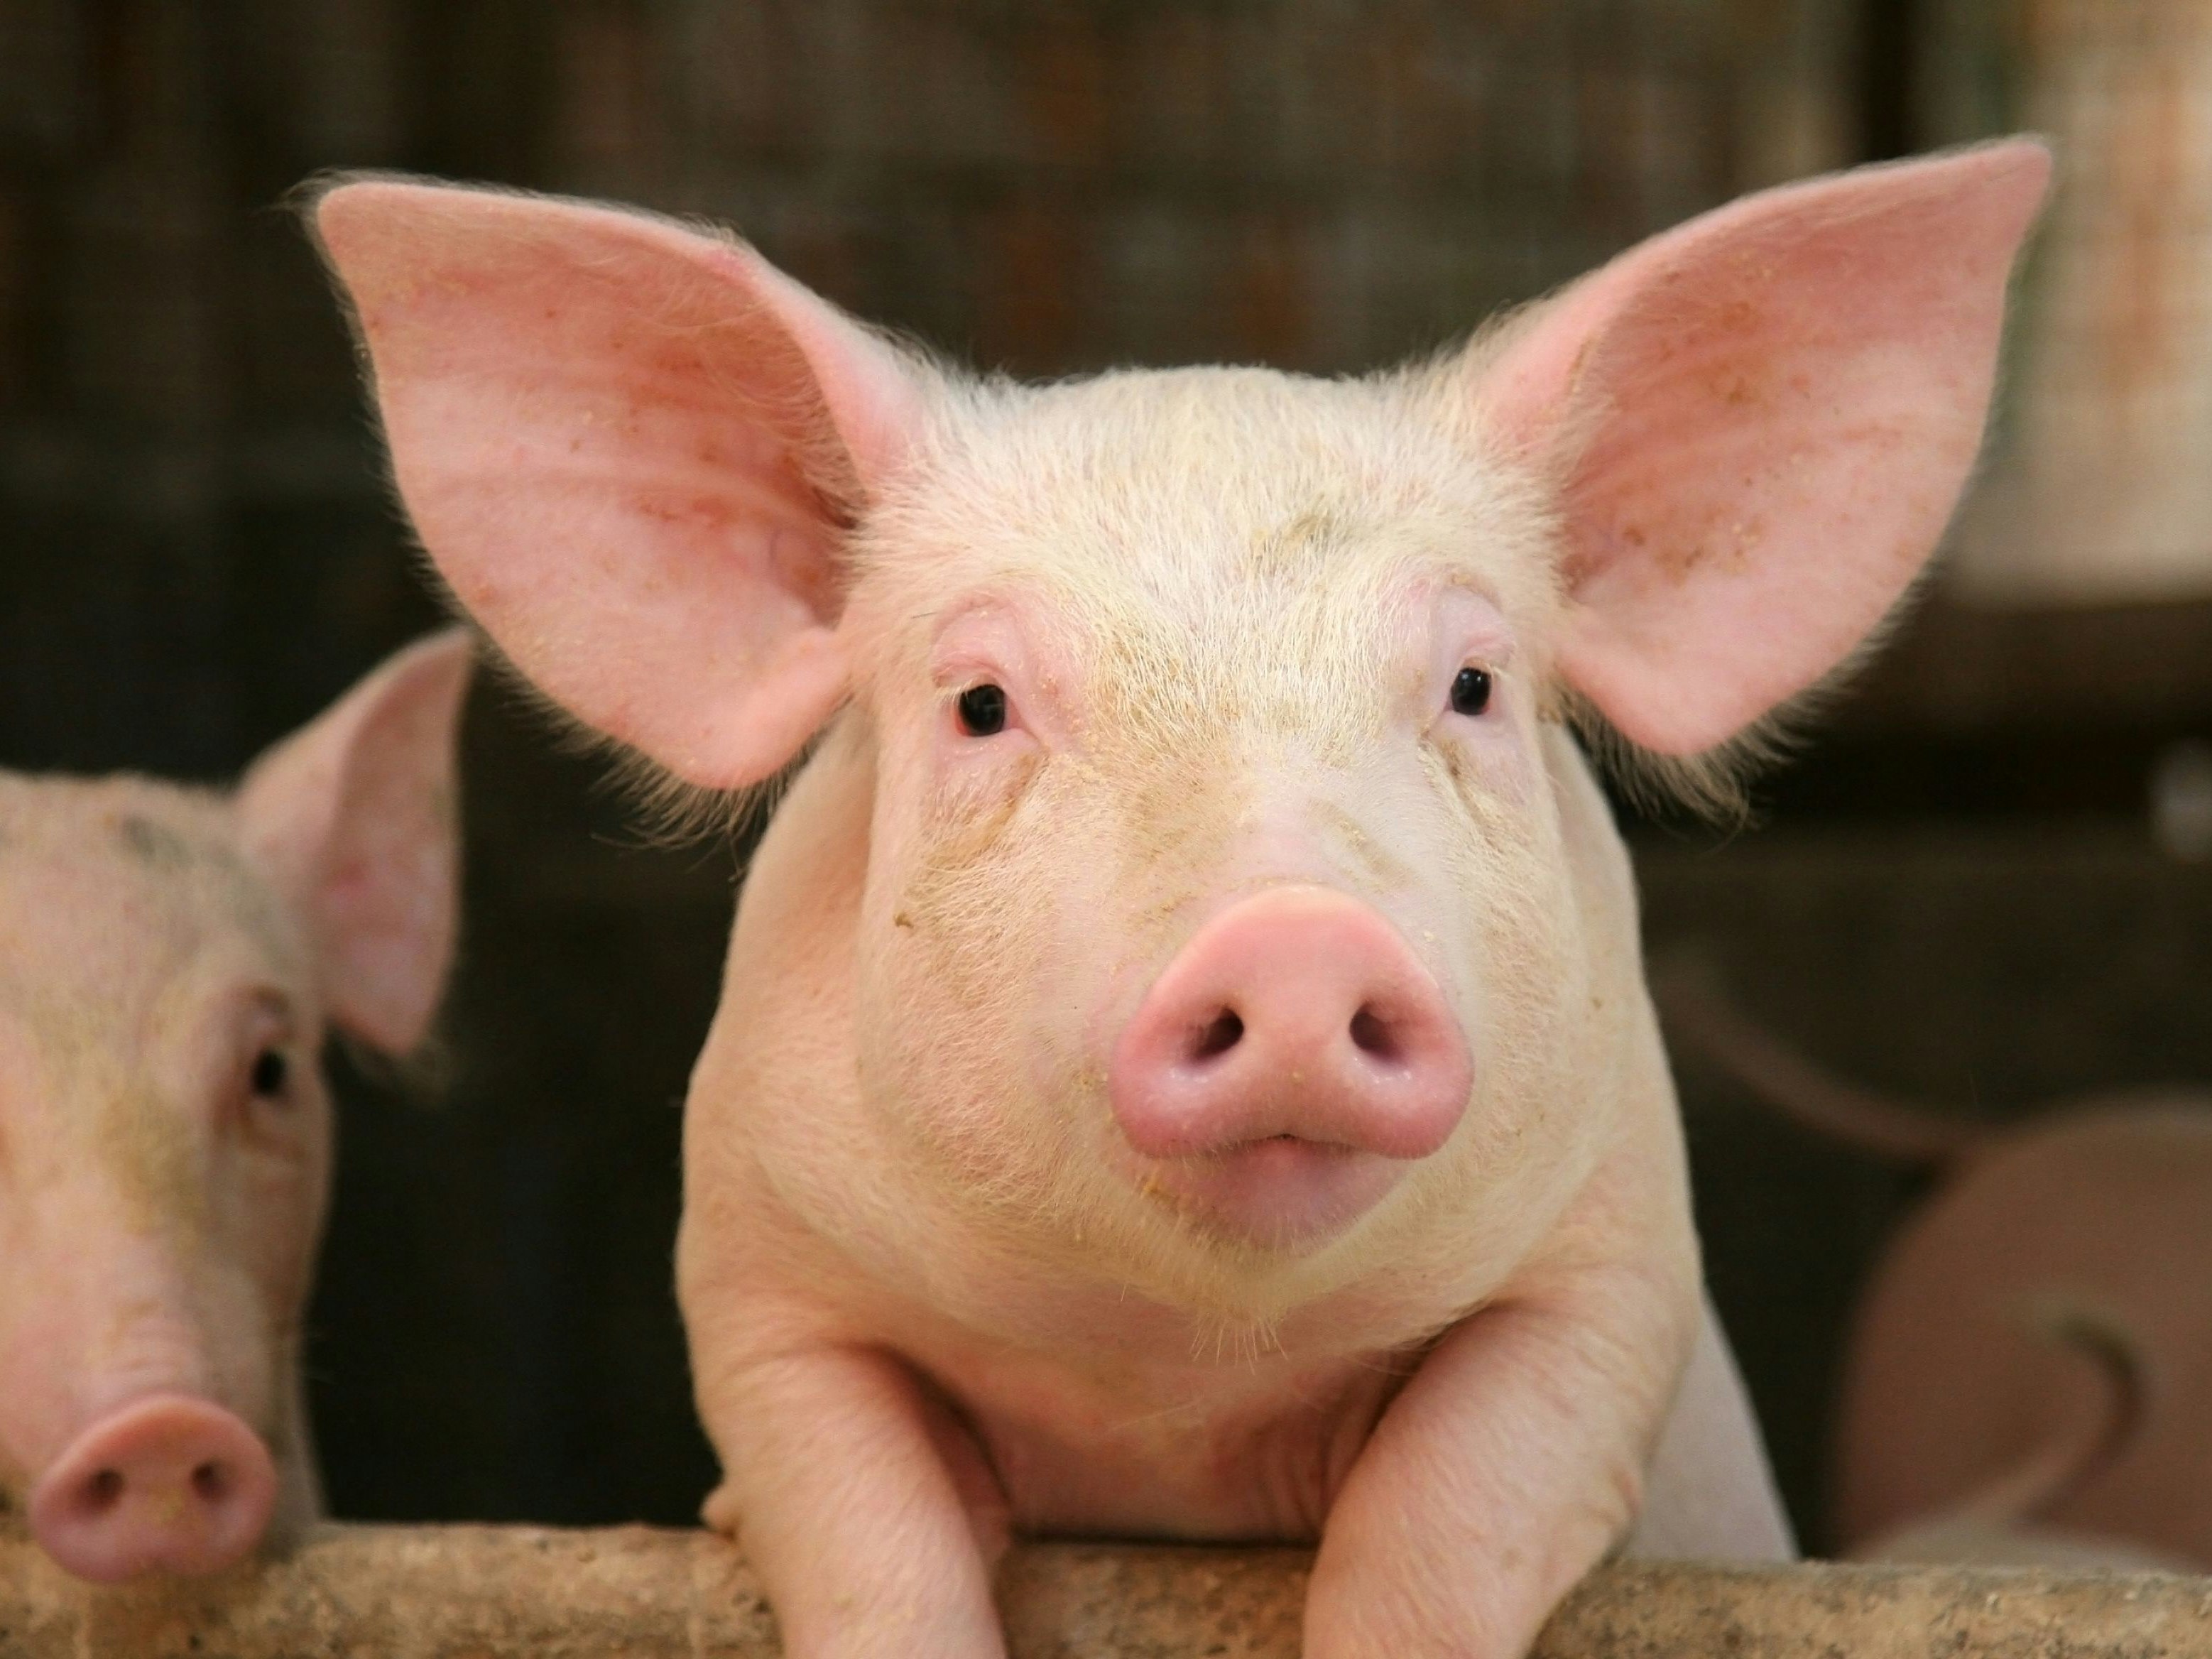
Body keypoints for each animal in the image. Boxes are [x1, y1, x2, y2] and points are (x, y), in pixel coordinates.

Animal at [310, 141, 2046, 1657]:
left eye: (1474, 684)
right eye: (982, 704)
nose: (1292, 937)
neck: (1181, 1388)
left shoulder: (1616, 1265)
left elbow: (1447, 1513)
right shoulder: (755, 1275)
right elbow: (863, 1530)